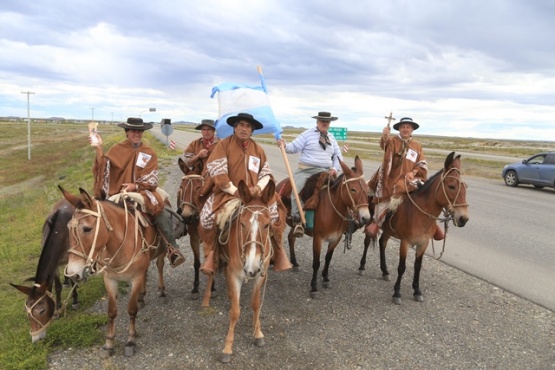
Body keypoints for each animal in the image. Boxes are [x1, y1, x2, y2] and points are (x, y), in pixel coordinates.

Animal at [10, 199, 80, 344]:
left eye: (42, 311)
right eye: (26, 311)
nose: (35, 339)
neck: (59, 232)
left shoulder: (70, 258)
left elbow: (72, 278)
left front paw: (75, 301)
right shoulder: (55, 265)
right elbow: (57, 286)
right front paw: (58, 307)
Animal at [59, 186, 176, 356]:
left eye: (87, 229)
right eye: (67, 228)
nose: (74, 273)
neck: (120, 244)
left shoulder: (136, 277)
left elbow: (131, 309)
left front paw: (131, 340)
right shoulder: (110, 279)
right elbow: (112, 311)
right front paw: (109, 343)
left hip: (161, 250)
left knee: (159, 265)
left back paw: (161, 292)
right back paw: (142, 296)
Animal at [276, 155, 372, 298]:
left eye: (366, 189)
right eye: (353, 189)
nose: (366, 218)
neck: (331, 211)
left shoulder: (335, 239)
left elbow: (328, 258)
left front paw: (325, 278)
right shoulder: (317, 239)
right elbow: (316, 263)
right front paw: (314, 287)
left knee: (291, 238)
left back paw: (295, 263)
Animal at [360, 152, 470, 304]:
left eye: (465, 187)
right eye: (452, 186)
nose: (463, 218)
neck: (419, 214)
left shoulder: (423, 243)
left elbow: (417, 266)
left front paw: (417, 290)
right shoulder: (405, 242)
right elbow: (402, 267)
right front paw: (397, 293)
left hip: (388, 230)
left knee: (382, 243)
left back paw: (385, 271)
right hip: (369, 221)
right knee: (367, 242)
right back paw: (362, 266)